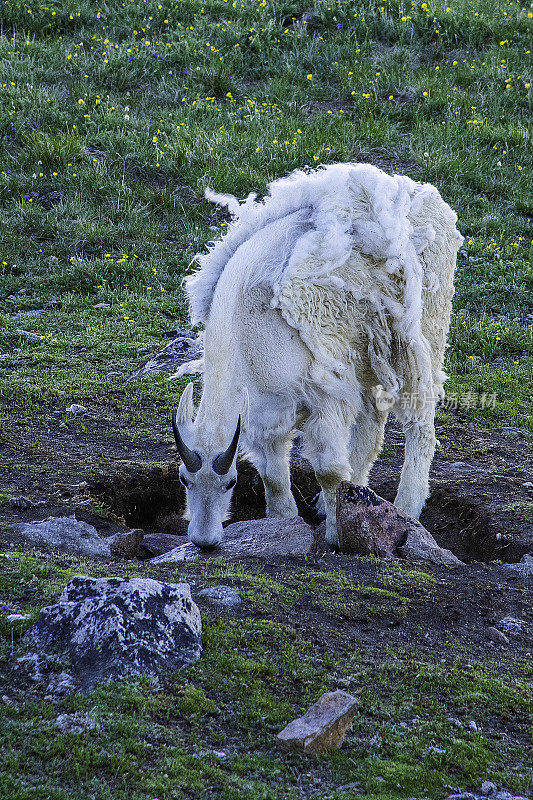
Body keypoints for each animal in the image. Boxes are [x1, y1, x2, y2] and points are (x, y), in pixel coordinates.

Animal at [170, 162, 462, 552]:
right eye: (184, 479)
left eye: (229, 482)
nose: (203, 540)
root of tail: (430, 197)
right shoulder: (268, 407)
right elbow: (273, 474)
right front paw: (281, 522)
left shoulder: (324, 393)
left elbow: (328, 471)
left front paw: (337, 537)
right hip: (362, 351)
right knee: (371, 424)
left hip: (423, 330)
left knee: (421, 422)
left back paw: (408, 506)